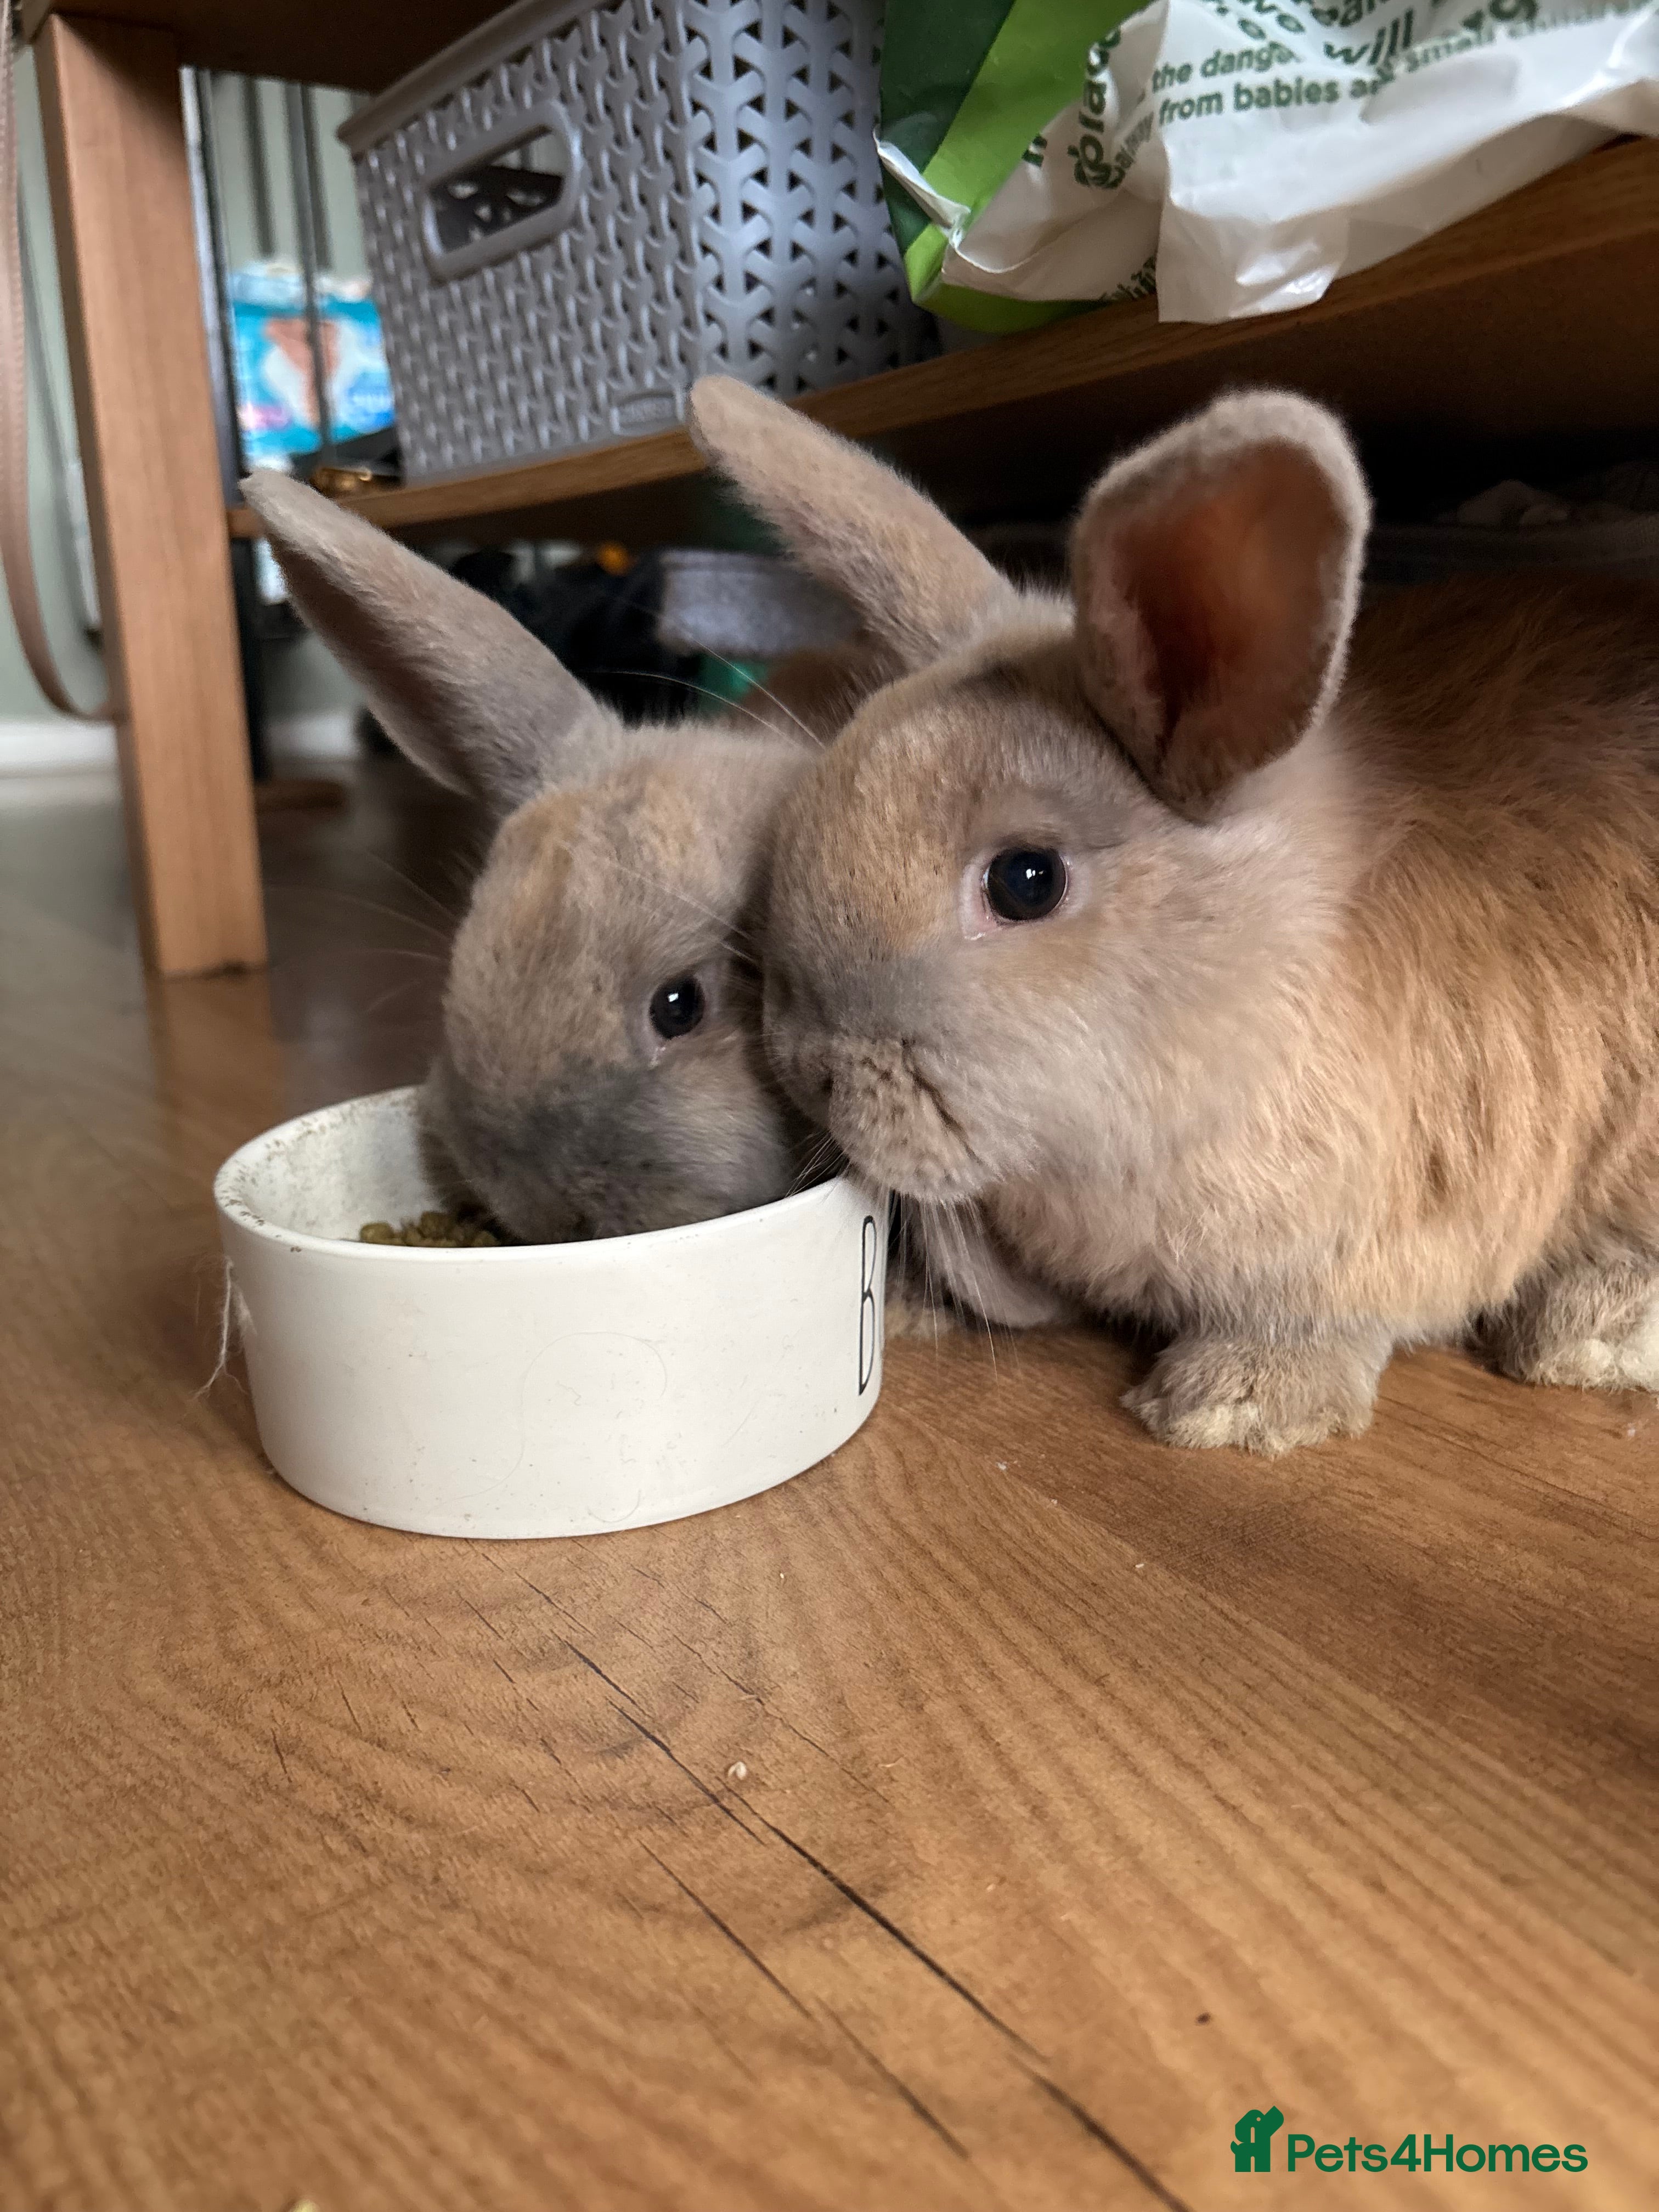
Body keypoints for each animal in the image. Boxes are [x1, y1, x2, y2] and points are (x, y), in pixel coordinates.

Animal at [682, 376, 1659, 1451]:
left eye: (1025, 882)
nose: (806, 1062)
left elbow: (1319, 1319)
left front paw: (1227, 1407)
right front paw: (910, 1306)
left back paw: (1592, 1335)